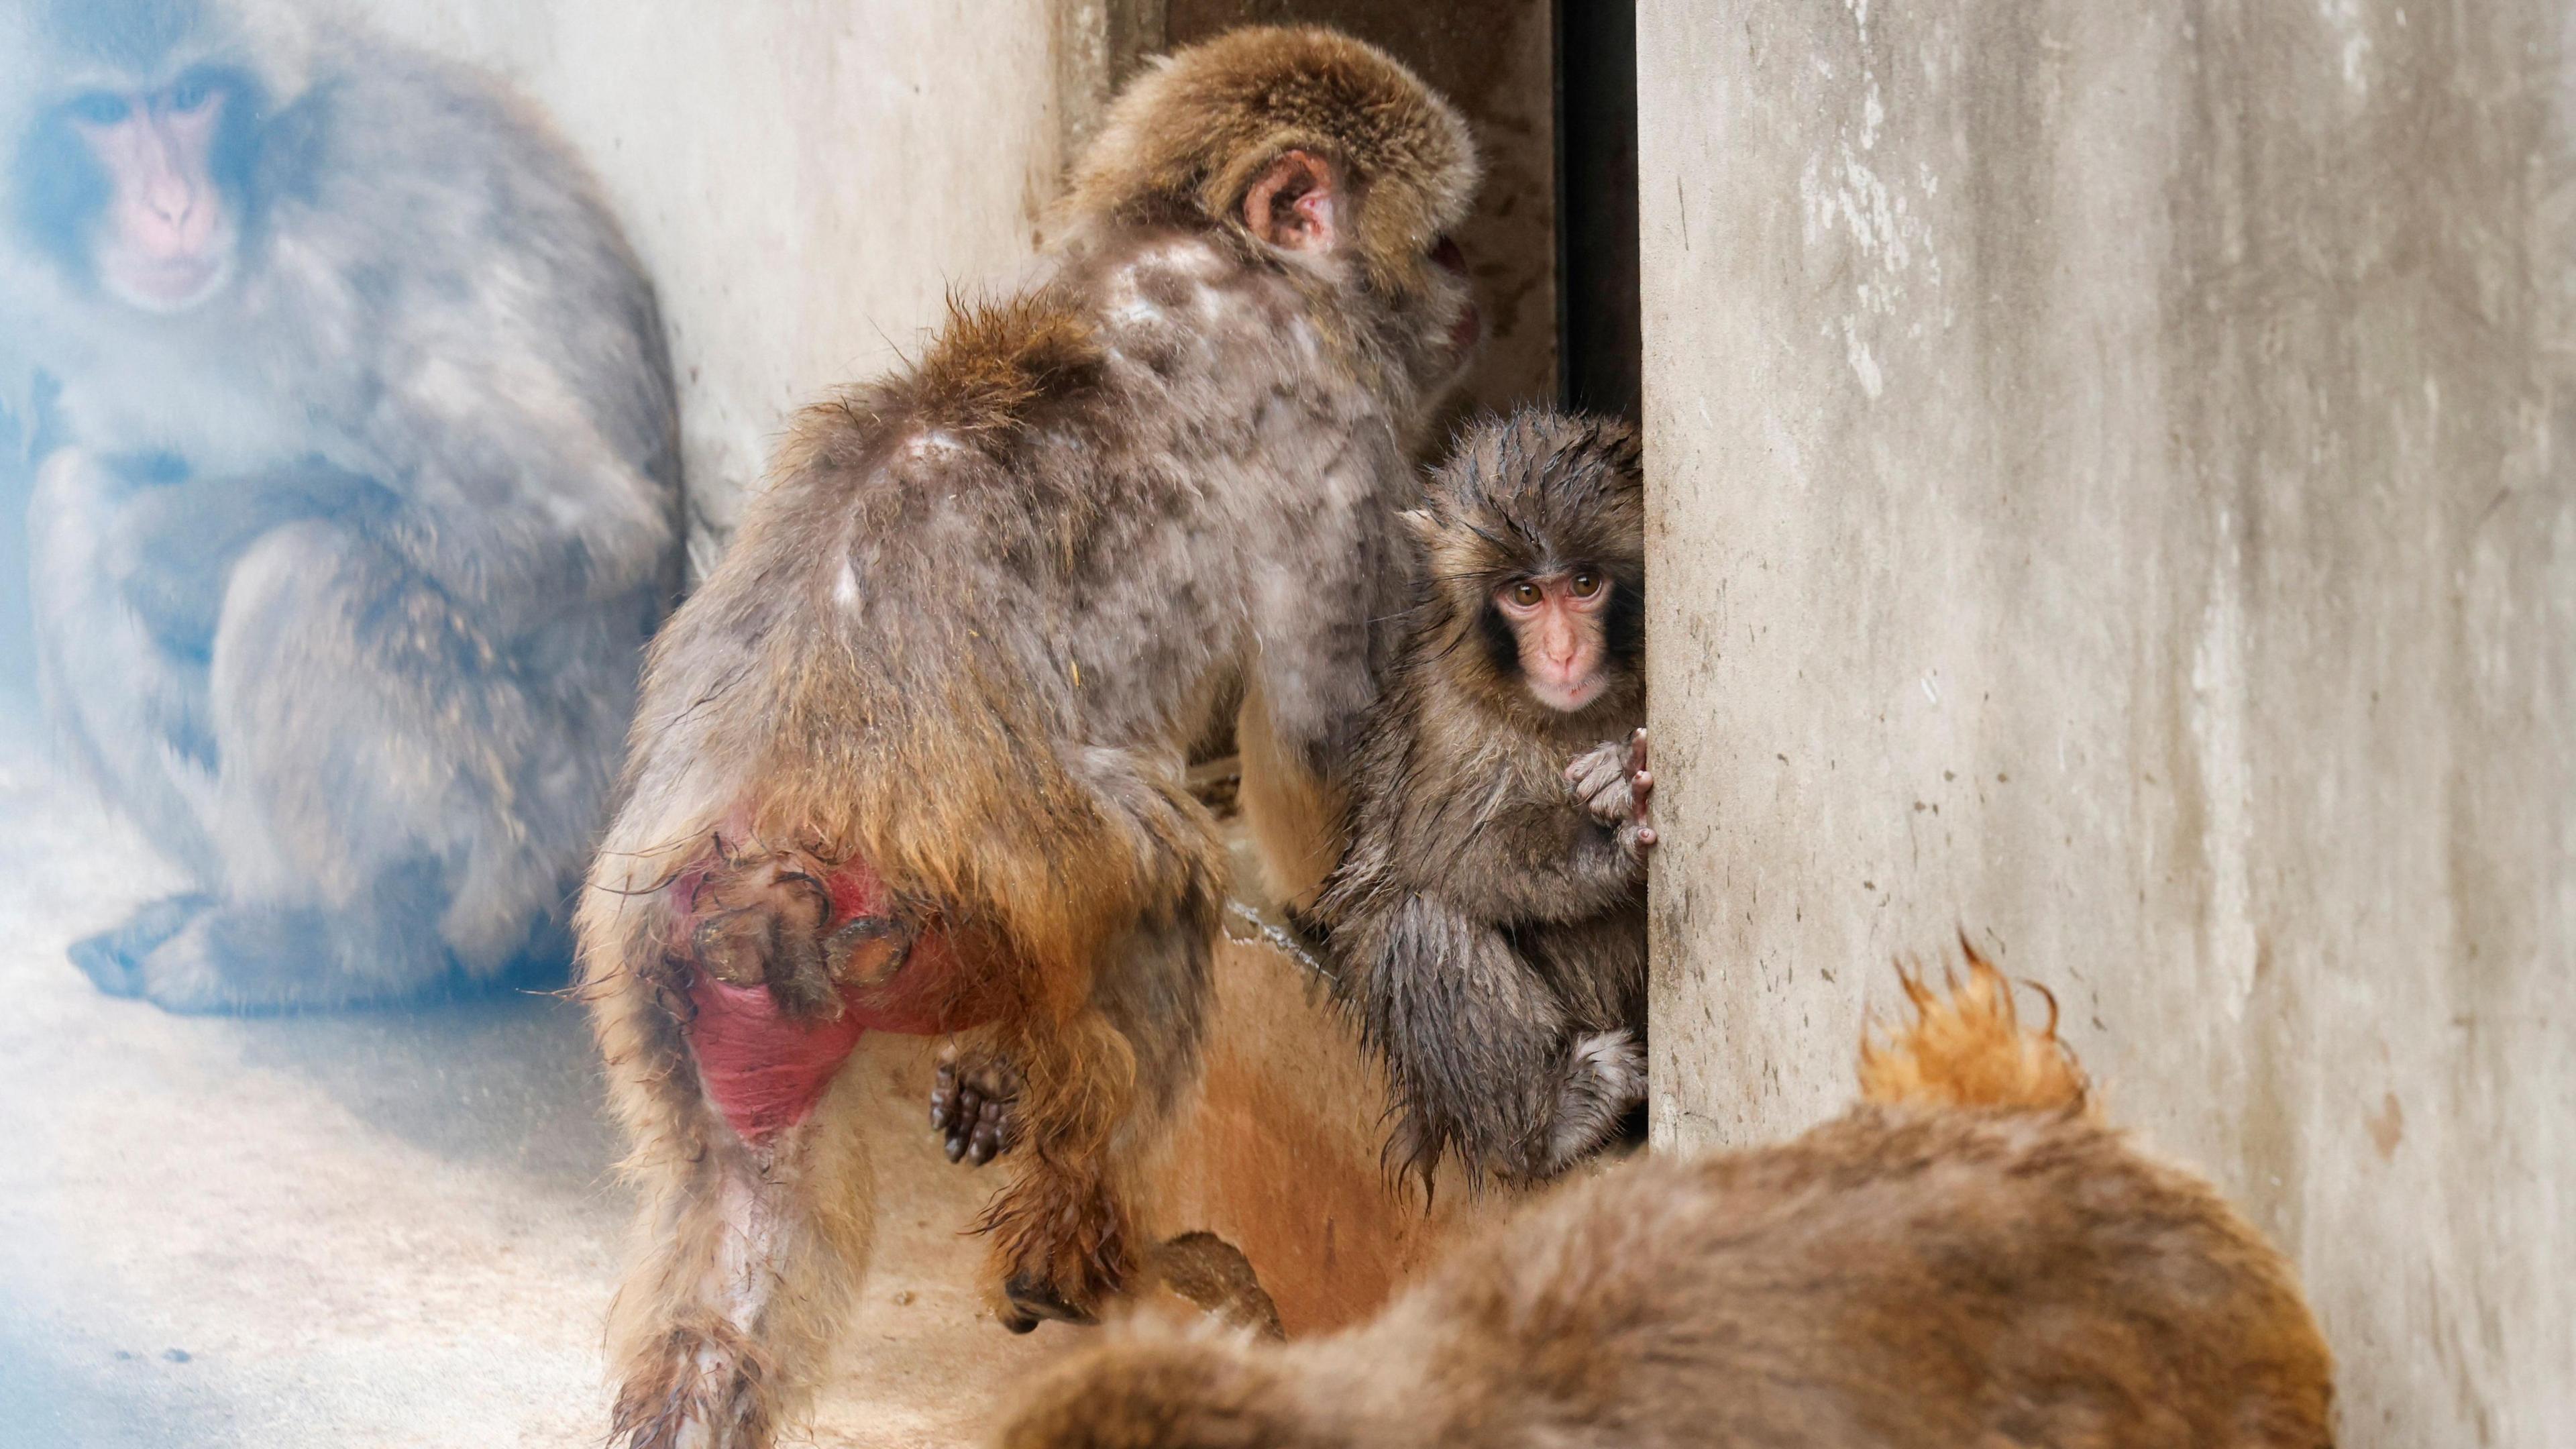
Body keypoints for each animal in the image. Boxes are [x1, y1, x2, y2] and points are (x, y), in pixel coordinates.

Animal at [0, 0, 682, 1011]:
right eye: (104, 113)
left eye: (190, 97)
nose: (172, 210)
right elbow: (113, 455)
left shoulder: (326, 268)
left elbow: (579, 528)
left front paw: (159, 557)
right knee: (71, 495)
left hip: (524, 839)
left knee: (304, 569)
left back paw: (356, 949)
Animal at [573, 26, 1480, 1449]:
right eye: (1439, 239)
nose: (1471, 282)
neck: (1197, 241)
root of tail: (768, 835)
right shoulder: (1333, 421)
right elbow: (1321, 724)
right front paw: (1348, 900)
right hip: (985, 892)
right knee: (1165, 885)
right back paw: (1070, 1235)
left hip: (687, 974)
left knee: (744, 1197)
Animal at [1312, 408, 1654, 1186]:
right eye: (1525, 595)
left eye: (1583, 583)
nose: (1561, 653)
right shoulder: (1443, 713)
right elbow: (1448, 856)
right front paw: (1605, 837)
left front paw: (1619, 770)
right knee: (1415, 925)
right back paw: (1555, 1124)